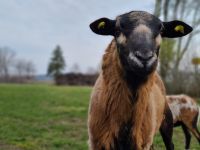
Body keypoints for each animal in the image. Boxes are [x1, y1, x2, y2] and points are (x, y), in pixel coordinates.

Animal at [88, 10, 192, 150]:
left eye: (161, 30)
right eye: (117, 29)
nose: (144, 57)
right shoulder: (97, 142)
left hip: (166, 122)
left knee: (170, 144)